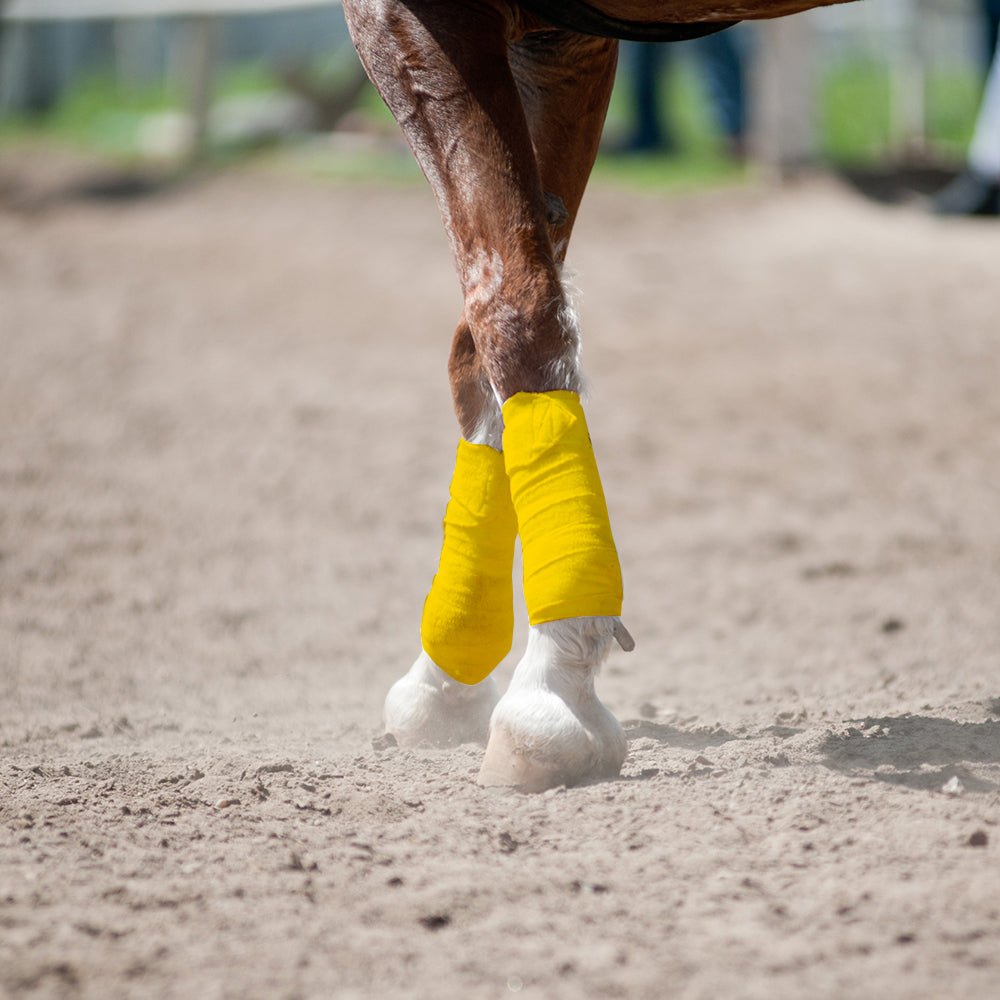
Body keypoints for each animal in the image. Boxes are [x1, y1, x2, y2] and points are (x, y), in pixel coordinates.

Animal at [342, 0, 851, 792]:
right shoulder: (566, 42)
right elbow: (481, 353)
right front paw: (450, 674)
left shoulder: (418, 20)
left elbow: (518, 319)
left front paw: (550, 699)